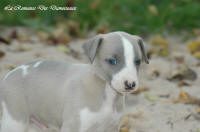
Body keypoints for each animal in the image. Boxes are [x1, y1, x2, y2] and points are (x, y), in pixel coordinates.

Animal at [0, 31, 149, 132]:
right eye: (112, 61)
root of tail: (8, 75)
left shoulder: (111, 127)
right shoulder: (73, 125)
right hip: (14, 122)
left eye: (137, 61)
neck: (106, 94)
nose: (130, 84)